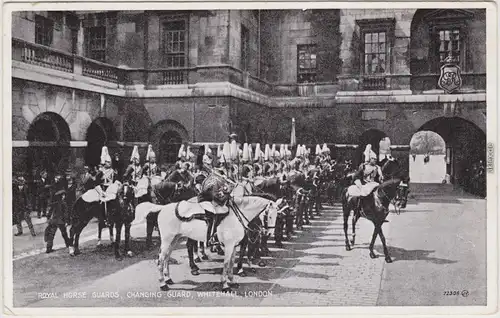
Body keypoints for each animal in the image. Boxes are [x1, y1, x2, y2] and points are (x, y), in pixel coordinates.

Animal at [135, 195, 284, 292]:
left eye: (277, 216)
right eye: (269, 216)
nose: (269, 234)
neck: (237, 216)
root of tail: (163, 207)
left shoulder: (234, 246)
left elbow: (231, 263)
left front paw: (232, 281)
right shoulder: (229, 246)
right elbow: (226, 264)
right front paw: (225, 285)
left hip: (174, 239)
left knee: (166, 258)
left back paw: (168, 279)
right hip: (167, 240)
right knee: (160, 260)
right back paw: (163, 284)